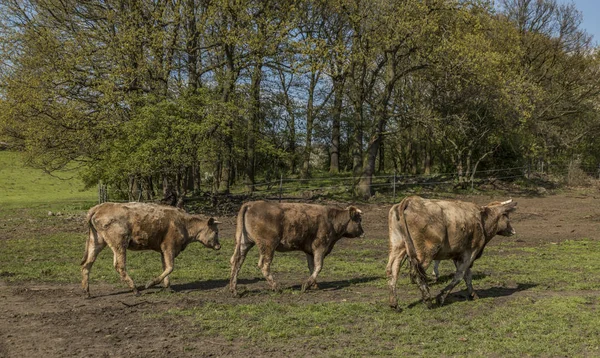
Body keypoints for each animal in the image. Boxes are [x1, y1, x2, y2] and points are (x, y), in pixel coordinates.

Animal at [79, 201, 220, 296]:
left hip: (96, 242)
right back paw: (135, 289)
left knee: (87, 264)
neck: (184, 224)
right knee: (119, 265)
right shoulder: (169, 247)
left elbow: (165, 267)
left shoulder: (163, 251)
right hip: (119, 243)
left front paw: (168, 287)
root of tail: (99, 207)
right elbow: (170, 267)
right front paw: (150, 283)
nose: (219, 245)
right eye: (216, 232)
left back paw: (87, 292)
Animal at [229, 200, 360, 296]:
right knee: (264, 265)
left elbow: (312, 266)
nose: (362, 231)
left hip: (244, 243)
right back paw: (276, 287)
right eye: (359, 220)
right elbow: (318, 266)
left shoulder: (309, 251)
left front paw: (314, 285)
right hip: (268, 246)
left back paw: (234, 289)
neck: (331, 219)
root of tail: (250, 204)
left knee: (237, 262)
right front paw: (306, 285)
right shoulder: (320, 247)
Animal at [386, 196, 516, 308]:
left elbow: (467, 276)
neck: (482, 220)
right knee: (416, 273)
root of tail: (410, 201)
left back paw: (394, 303)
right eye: (506, 215)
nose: (513, 231)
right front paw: (441, 297)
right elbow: (459, 275)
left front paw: (473, 294)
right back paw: (427, 299)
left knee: (393, 270)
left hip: (398, 247)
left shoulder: (458, 255)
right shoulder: (470, 252)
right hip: (425, 253)